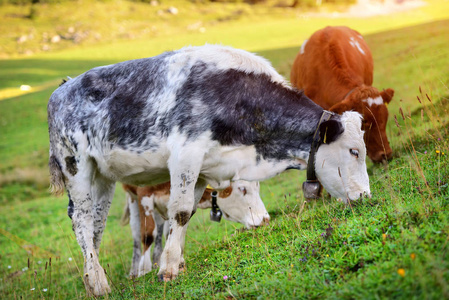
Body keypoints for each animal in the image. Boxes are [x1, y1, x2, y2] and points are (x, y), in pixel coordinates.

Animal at [121, 179, 268, 278]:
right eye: (242, 188)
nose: (265, 219)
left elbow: (175, 230)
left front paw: (175, 262)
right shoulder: (143, 193)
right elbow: (148, 233)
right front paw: (144, 270)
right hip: (132, 197)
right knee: (137, 232)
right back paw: (134, 271)